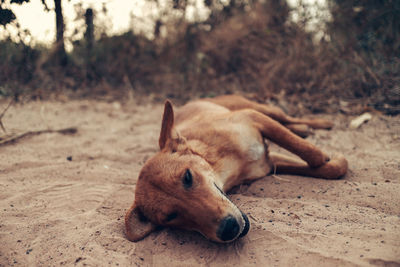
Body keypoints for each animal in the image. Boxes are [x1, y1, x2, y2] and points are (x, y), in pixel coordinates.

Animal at [125, 95, 346, 244]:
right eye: (170, 217)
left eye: (187, 177)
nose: (228, 229)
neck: (230, 165)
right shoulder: (270, 163)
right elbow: (327, 169)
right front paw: (331, 162)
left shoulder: (253, 118)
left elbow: (306, 150)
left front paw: (326, 156)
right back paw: (305, 129)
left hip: (261, 109)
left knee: (288, 119)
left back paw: (318, 124)